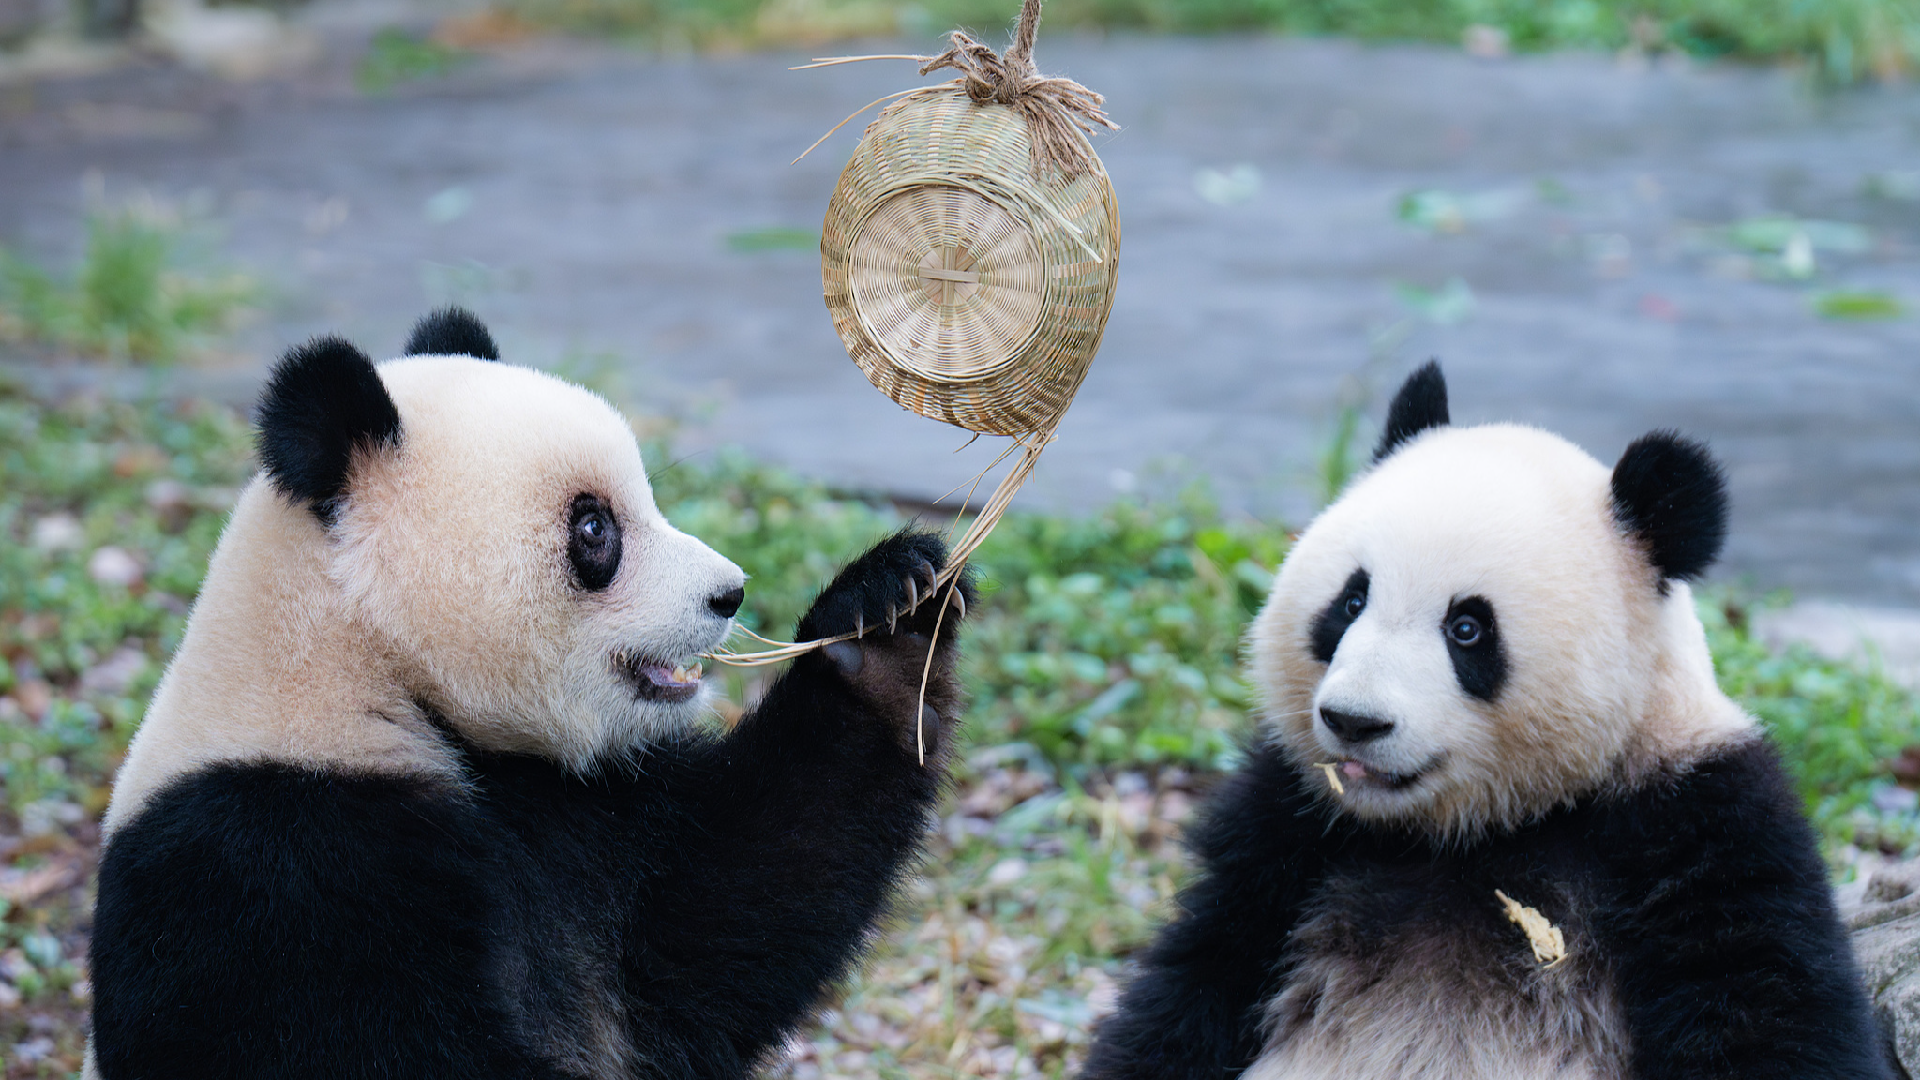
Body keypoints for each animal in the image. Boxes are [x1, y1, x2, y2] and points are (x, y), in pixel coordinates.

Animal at [1082, 361, 1889, 1076]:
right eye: (1351, 601)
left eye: (1467, 629)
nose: (1354, 721)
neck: (1469, 833)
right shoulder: (1289, 827)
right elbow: (1199, 979)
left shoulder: (1697, 817)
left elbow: (1764, 1009)